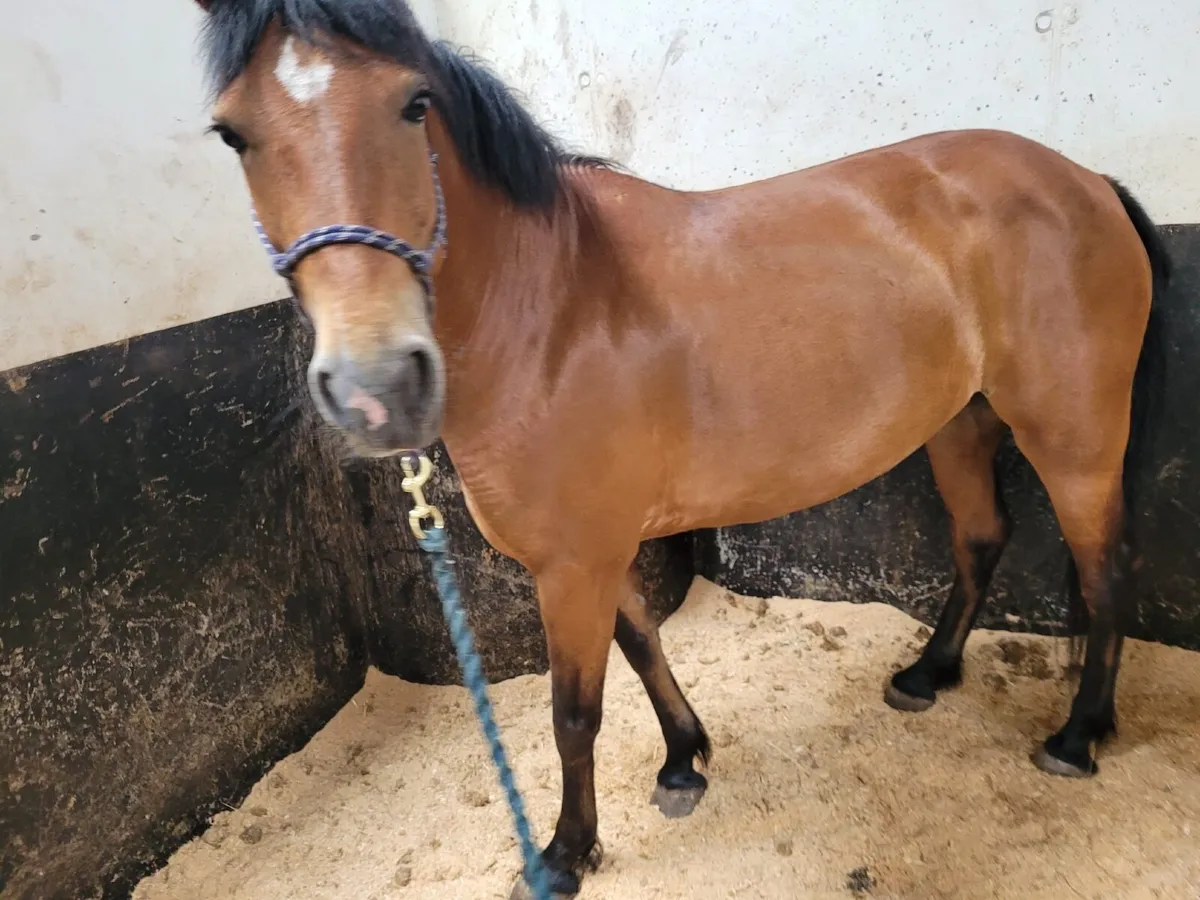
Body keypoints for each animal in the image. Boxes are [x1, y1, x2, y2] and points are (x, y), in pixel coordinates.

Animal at [189, 0, 1171, 895]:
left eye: (413, 102)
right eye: (232, 133)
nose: (377, 388)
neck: (551, 304)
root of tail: (1084, 179)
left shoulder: (572, 564)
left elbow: (573, 712)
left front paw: (564, 854)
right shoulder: (597, 550)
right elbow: (642, 645)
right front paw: (682, 761)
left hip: (1075, 440)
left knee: (1105, 570)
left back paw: (1077, 736)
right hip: (960, 424)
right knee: (981, 540)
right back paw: (927, 675)